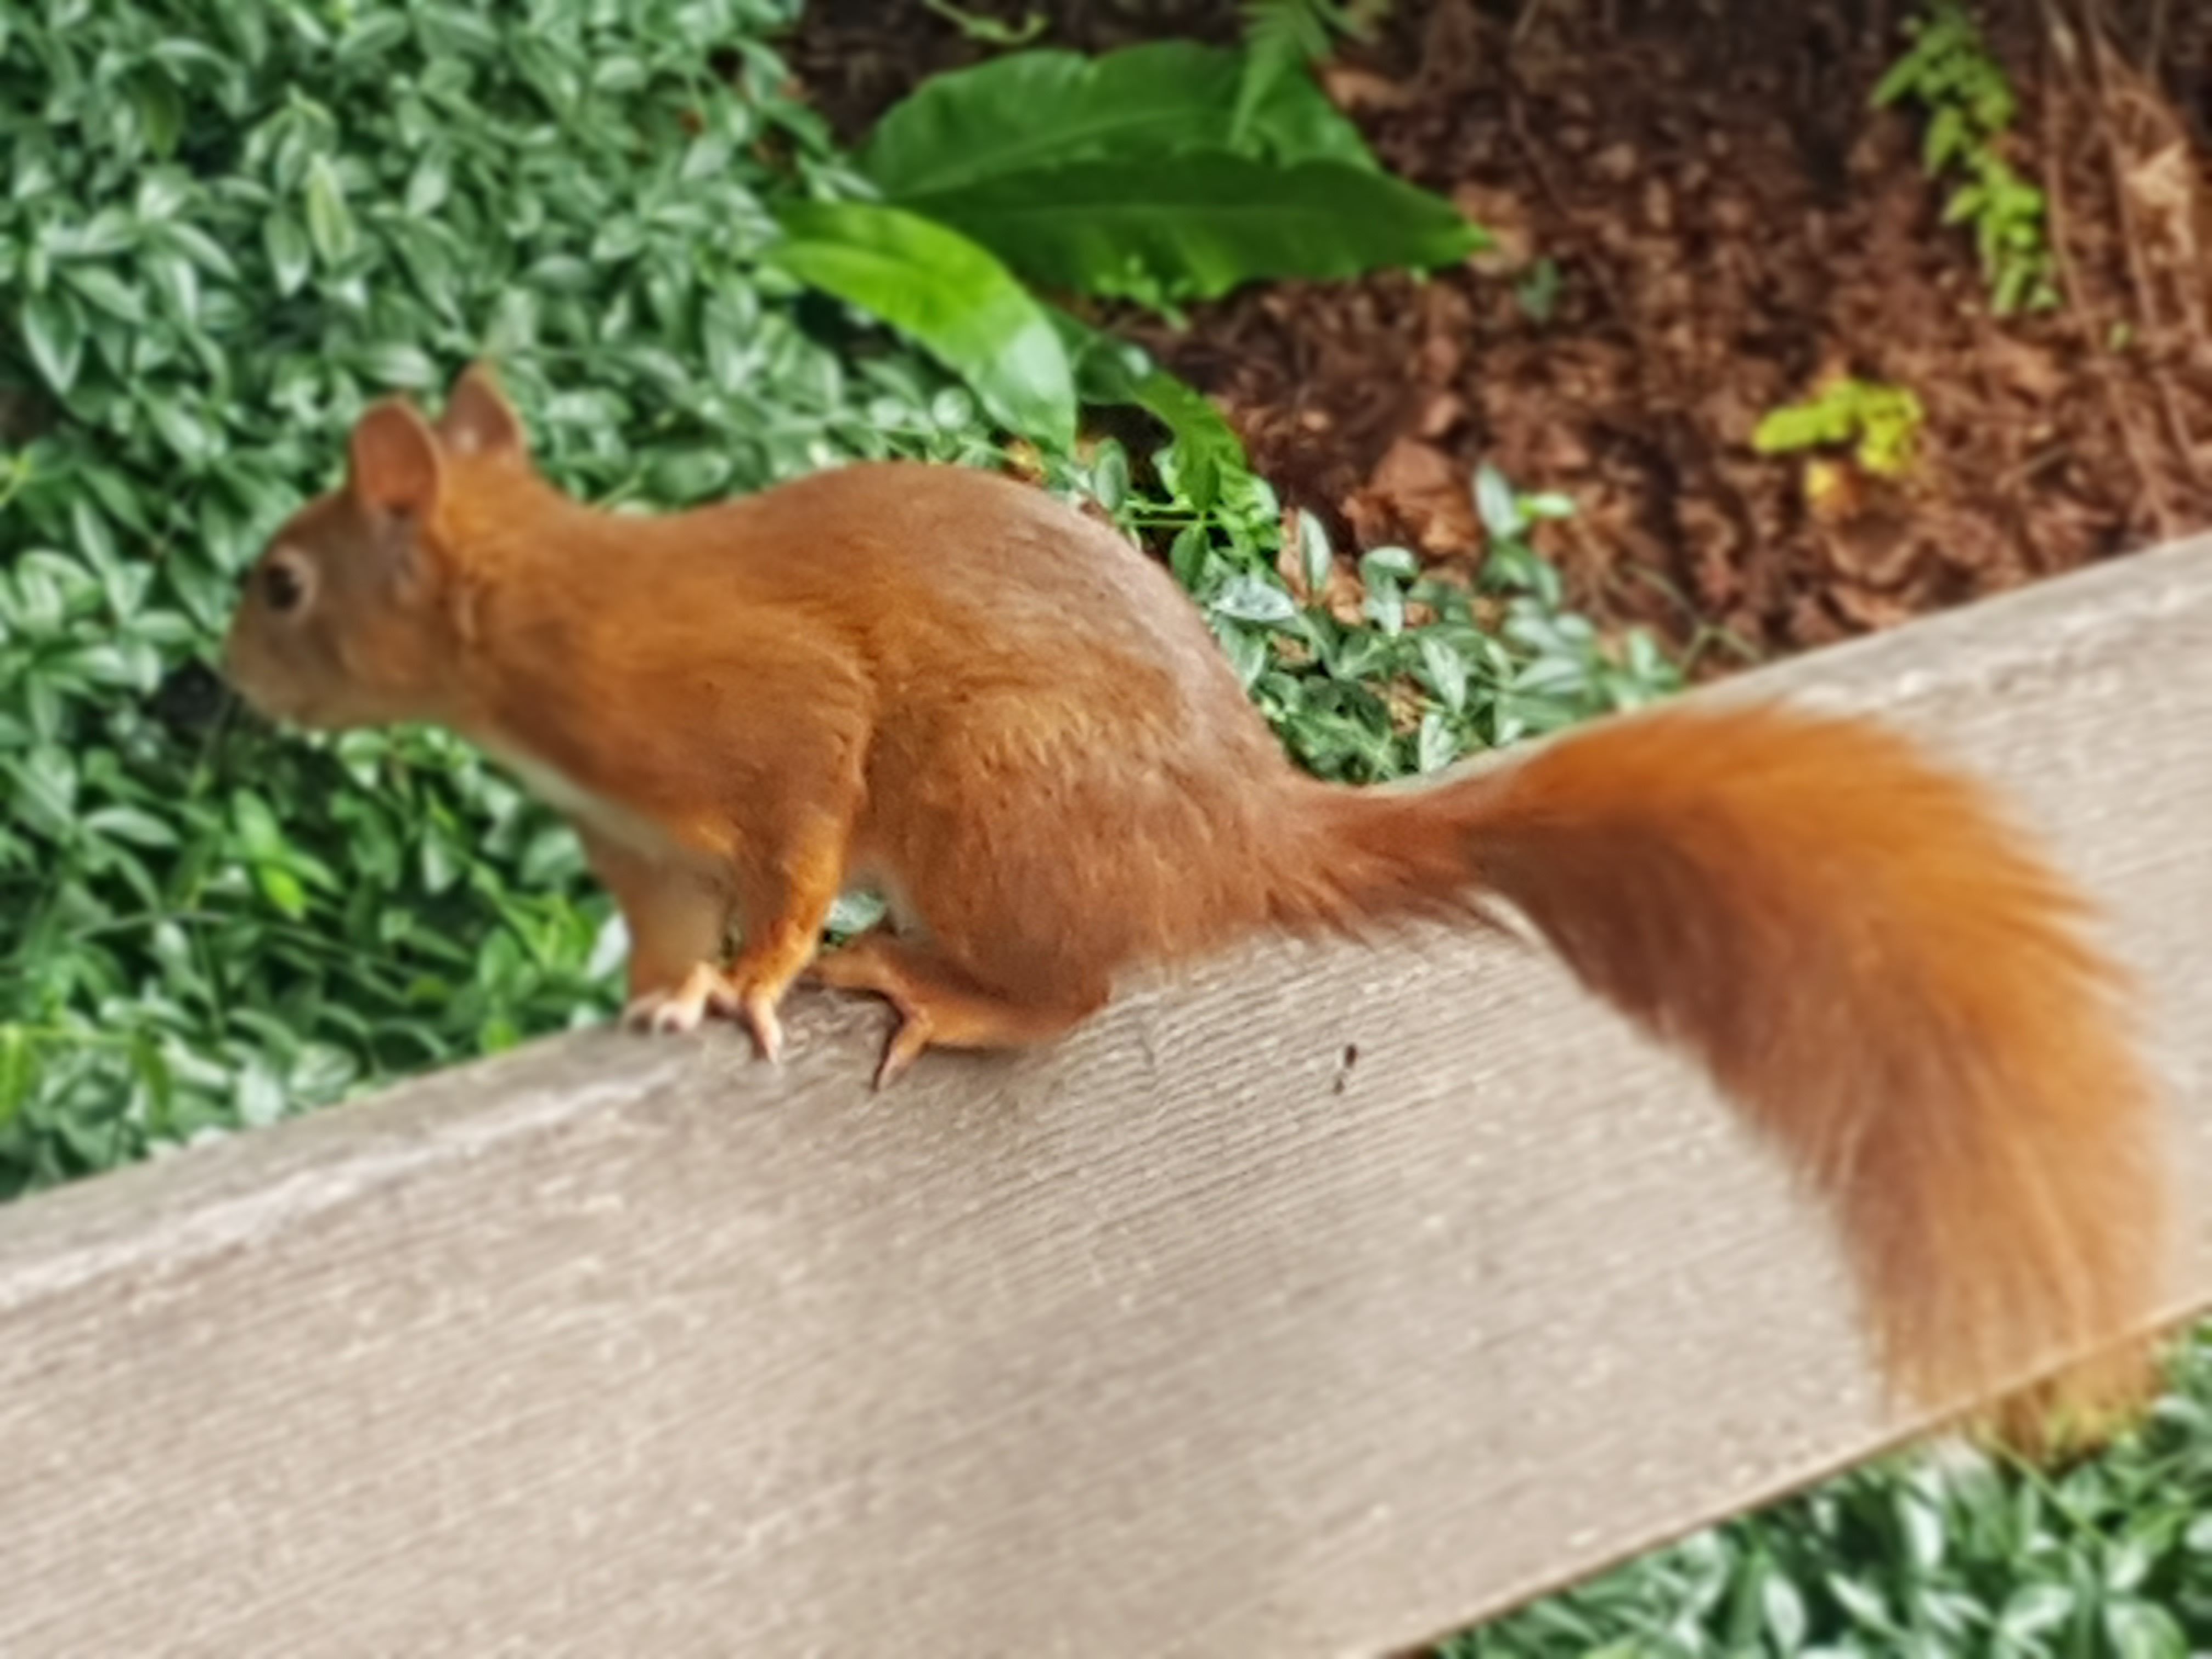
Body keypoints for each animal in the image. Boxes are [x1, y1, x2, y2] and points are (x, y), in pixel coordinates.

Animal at [229, 360, 2176, 1442]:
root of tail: (1238, 836)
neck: (550, 616)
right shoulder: (632, 839)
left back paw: (928, 985)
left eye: (281, 584)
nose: (216, 684)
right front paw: (657, 999)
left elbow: (789, 852)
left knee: (1077, 999)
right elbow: (657, 926)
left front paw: (766, 981)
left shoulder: (775, 725)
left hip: (995, 796)